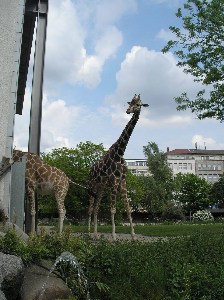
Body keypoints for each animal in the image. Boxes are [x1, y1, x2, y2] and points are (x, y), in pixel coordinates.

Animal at [87, 95, 149, 240]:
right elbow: (113, 209)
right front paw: (114, 236)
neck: (120, 153)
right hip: (92, 186)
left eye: (138, 104)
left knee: (96, 208)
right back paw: (88, 233)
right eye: (130, 103)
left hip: (100, 188)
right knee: (90, 208)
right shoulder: (114, 181)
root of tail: (90, 170)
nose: (128, 111)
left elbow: (128, 209)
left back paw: (96, 235)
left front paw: (133, 236)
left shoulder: (122, 181)